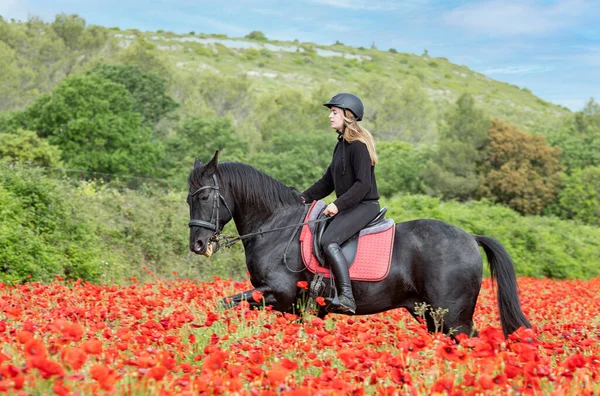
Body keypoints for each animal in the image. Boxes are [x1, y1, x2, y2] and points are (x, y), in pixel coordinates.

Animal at [188, 152, 528, 338]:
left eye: (204, 197)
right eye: (189, 199)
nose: (198, 245)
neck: (276, 227)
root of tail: (471, 238)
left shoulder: (278, 293)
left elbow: (226, 302)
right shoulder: (294, 306)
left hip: (453, 317)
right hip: (431, 314)